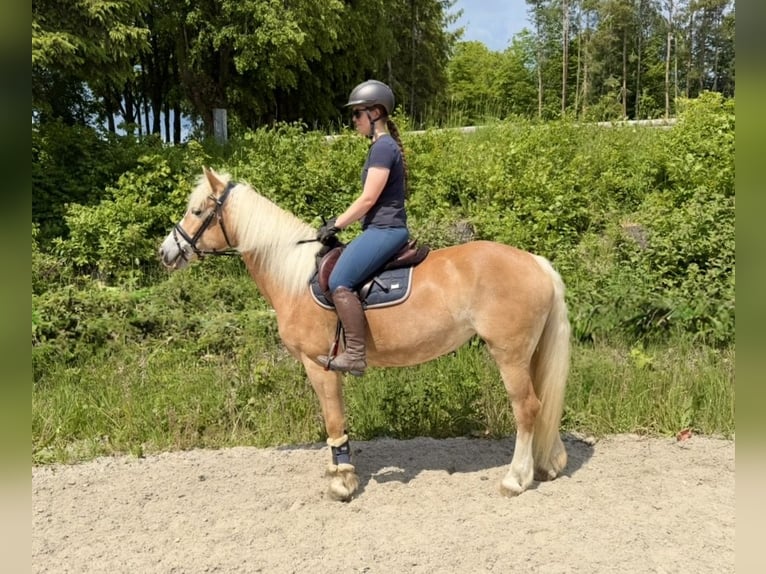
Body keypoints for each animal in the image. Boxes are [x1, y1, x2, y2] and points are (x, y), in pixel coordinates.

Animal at [159, 167, 571, 501]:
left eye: (197, 212)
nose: (166, 252)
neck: (297, 277)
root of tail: (537, 262)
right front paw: (341, 472)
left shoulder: (319, 365)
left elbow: (333, 419)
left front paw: (341, 481)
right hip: (529, 353)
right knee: (542, 402)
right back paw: (547, 465)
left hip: (509, 354)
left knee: (527, 407)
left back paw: (516, 479)